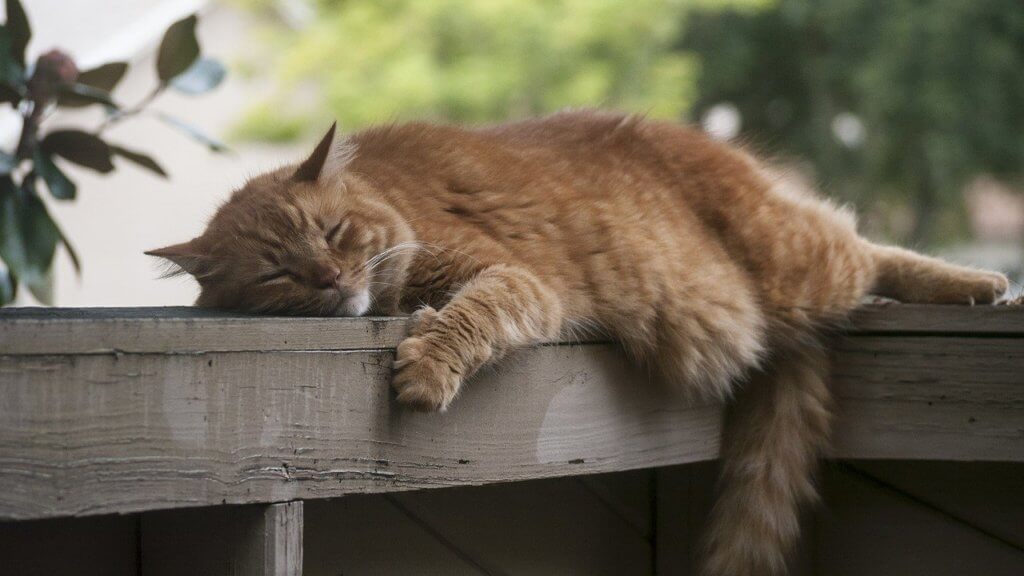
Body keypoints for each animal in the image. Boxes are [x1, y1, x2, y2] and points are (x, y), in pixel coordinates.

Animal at [146, 111, 1007, 573]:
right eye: (276, 272)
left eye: (330, 234)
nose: (330, 278)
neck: (390, 198)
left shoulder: (516, 280)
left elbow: (469, 318)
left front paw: (425, 368)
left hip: (798, 262)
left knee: (867, 245)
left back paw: (977, 282)